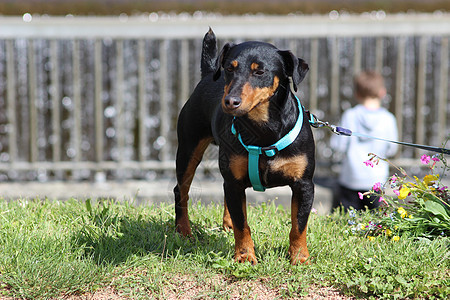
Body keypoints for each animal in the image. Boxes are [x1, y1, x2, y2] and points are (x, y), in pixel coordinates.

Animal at [174, 29, 314, 264]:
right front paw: (245, 256)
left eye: (260, 71)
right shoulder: (234, 181)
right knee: (181, 190)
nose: (230, 101)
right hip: (188, 149)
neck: (263, 130)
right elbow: (243, 225)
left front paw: (300, 257)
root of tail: (208, 74)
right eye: (230, 68)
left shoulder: (304, 184)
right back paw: (183, 230)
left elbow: (299, 225)